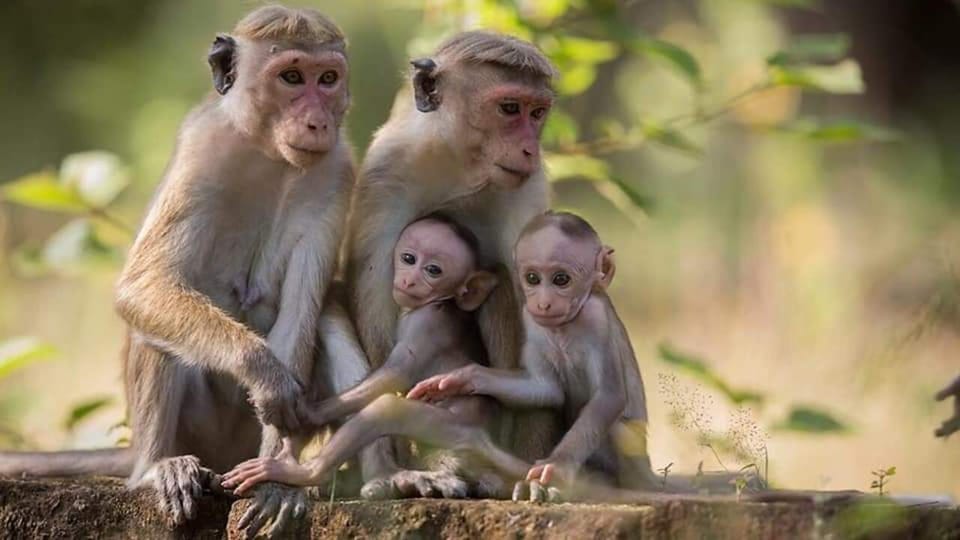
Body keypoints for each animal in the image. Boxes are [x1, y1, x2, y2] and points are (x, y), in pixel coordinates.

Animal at [0, 7, 366, 536]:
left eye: (329, 79)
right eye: (292, 77)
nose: (317, 122)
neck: (267, 152)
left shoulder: (335, 172)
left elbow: (300, 314)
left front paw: (278, 482)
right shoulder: (201, 149)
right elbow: (143, 288)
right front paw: (264, 372)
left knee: (325, 320)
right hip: (195, 430)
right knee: (157, 323)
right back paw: (158, 467)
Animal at [221, 216, 532, 498]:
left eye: (433, 270)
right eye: (408, 258)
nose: (410, 280)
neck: (439, 301)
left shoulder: (426, 322)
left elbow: (396, 374)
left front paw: (310, 412)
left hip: (453, 427)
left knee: (387, 408)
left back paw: (299, 471)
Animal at [344, 29, 556, 498]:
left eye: (537, 113)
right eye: (509, 108)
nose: (530, 148)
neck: (461, 166)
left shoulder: (527, 189)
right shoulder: (386, 173)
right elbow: (376, 313)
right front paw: (398, 471)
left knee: (501, 284)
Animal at [406, 211, 668, 502]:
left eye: (561, 279)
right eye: (532, 278)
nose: (543, 303)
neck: (564, 327)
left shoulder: (596, 317)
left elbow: (609, 398)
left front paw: (557, 466)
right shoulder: (530, 319)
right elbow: (546, 389)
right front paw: (459, 380)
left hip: (633, 461)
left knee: (615, 427)